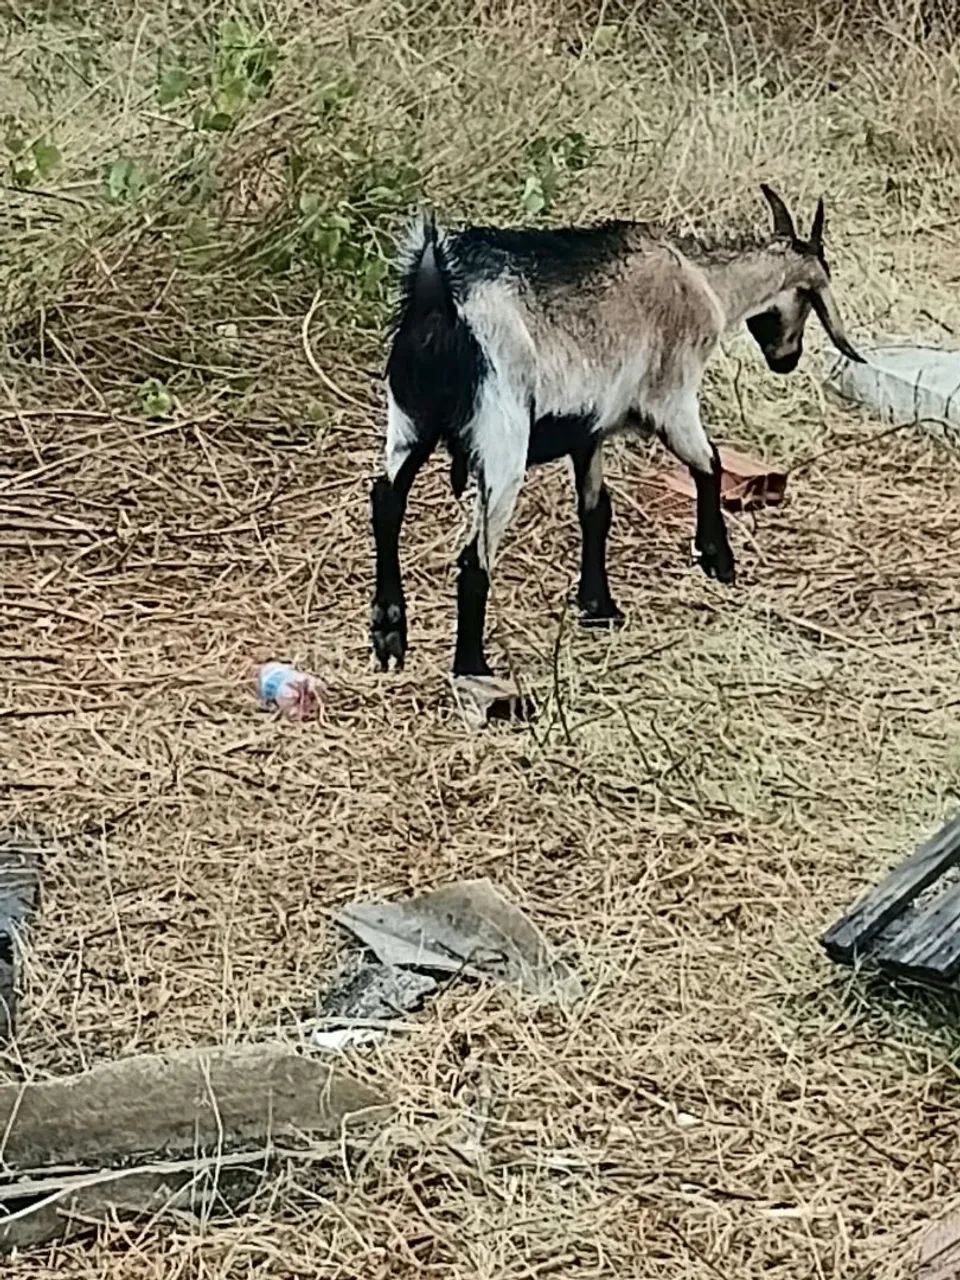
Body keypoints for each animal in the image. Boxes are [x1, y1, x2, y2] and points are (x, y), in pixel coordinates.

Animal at [370, 185, 863, 679]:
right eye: (807, 302)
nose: (787, 360)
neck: (706, 283)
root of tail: (437, 296)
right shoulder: (672, 399)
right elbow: (709, 464)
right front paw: (717, 559)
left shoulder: (590, 430)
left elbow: (595, 512)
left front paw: (598, 606)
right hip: (501, 435)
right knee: (474, 556)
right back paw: (473, 666)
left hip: (409, 422)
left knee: (387, 501)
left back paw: (389, 632)